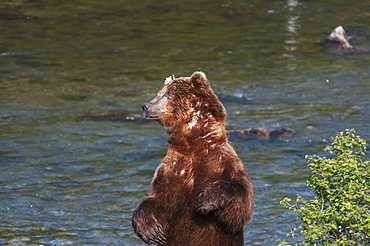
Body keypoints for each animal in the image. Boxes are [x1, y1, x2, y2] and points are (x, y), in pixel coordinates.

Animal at [132, 72, 253, 245]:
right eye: (159, 93)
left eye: (169, 93)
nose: (146, 106)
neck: (193, 146)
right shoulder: (171, 169)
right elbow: (156, 199)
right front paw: (152, 232)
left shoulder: (223, 163)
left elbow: (240, 206)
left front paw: (204, 201)